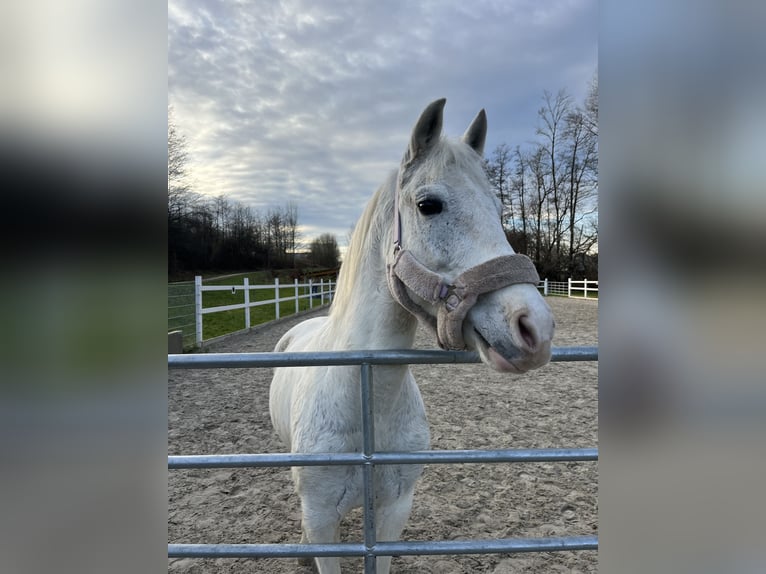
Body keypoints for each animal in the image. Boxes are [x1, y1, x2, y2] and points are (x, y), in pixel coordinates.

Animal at [272, 100, 560, 574]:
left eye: (498, 209)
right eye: (429, 205)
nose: (534, 327)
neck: (365, 398)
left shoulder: (394, 511)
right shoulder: (321, 518)